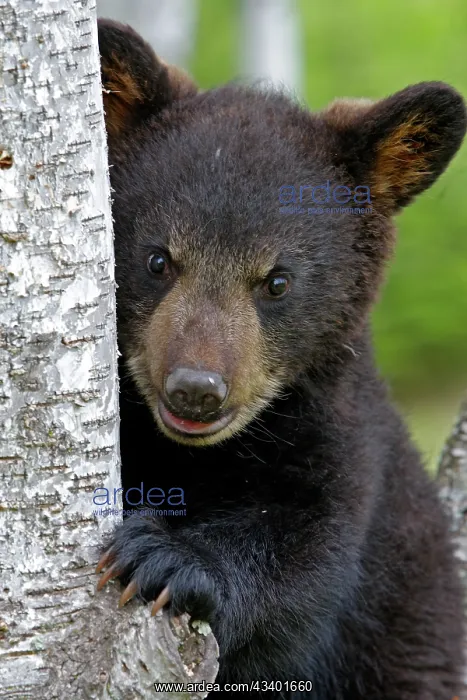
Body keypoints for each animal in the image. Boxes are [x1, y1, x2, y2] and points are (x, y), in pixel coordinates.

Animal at [95, 19, 467, 700]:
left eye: (277, 281)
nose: (196, 389)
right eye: (158, 258)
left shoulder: (342, 441)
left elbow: (306, 564)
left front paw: (166, 557)